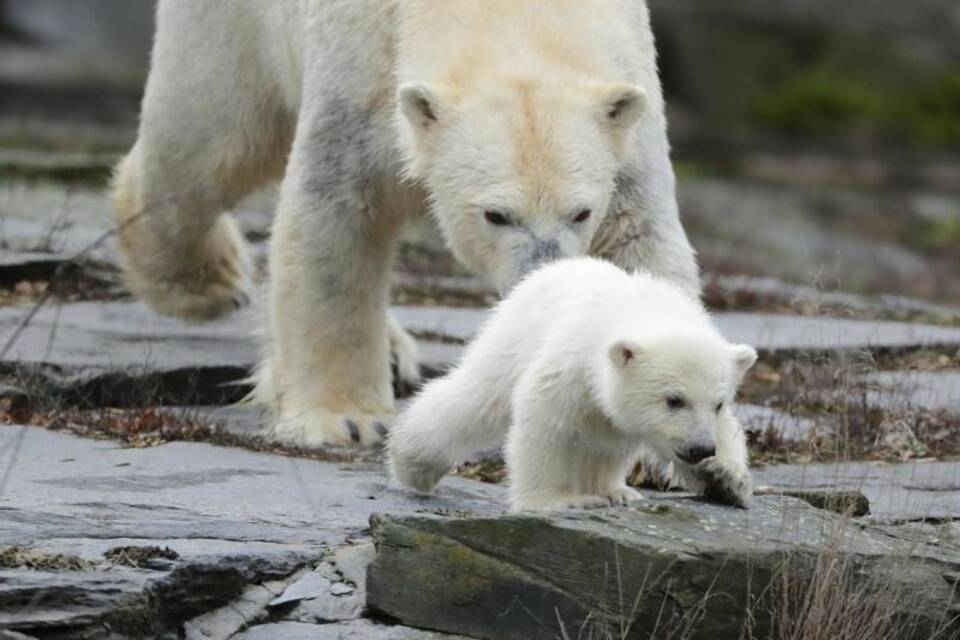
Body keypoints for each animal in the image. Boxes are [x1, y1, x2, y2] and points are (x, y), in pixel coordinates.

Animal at [112, 0, 696, 448]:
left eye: (580, 211)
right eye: (496, 215)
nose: (541, 278)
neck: (513, 13)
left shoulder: (630, 117)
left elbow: (639, 241)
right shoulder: (361, 76)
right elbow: (336, 223)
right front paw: (344, 420)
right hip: (232, 31)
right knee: (207, 145)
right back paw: (207, 279)